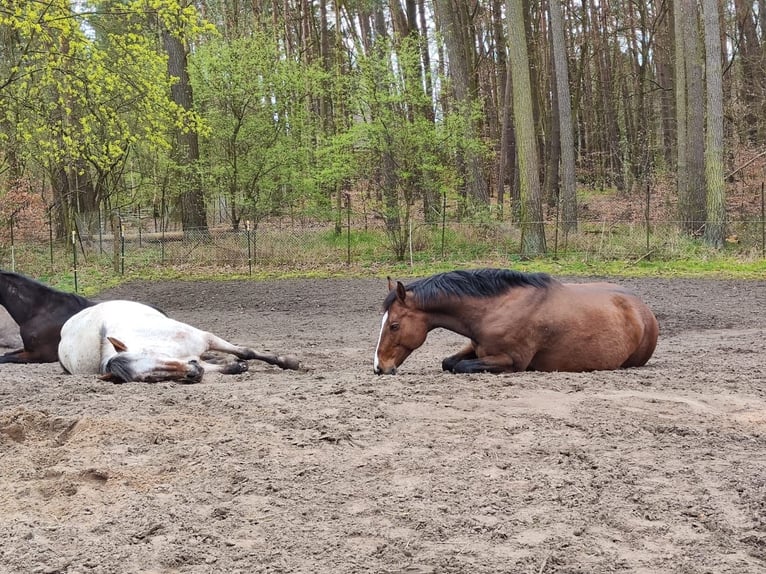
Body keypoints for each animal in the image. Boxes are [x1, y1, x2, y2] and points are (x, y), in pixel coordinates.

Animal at [58, 302, 300, 382]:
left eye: (150, 354)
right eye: (149, 379)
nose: (192, 374)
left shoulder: (206, 338)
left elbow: (246, 351)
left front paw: (288, 362)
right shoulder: (194, 360)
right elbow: (225, 365)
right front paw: (235, 366)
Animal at [376, 272, 656, 378]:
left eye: (394, 325)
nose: (379, 367)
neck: (495, 309)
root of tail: (644, 310)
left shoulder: (511, 361)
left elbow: (460, 367)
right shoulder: (476, 347)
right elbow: (449, 362)